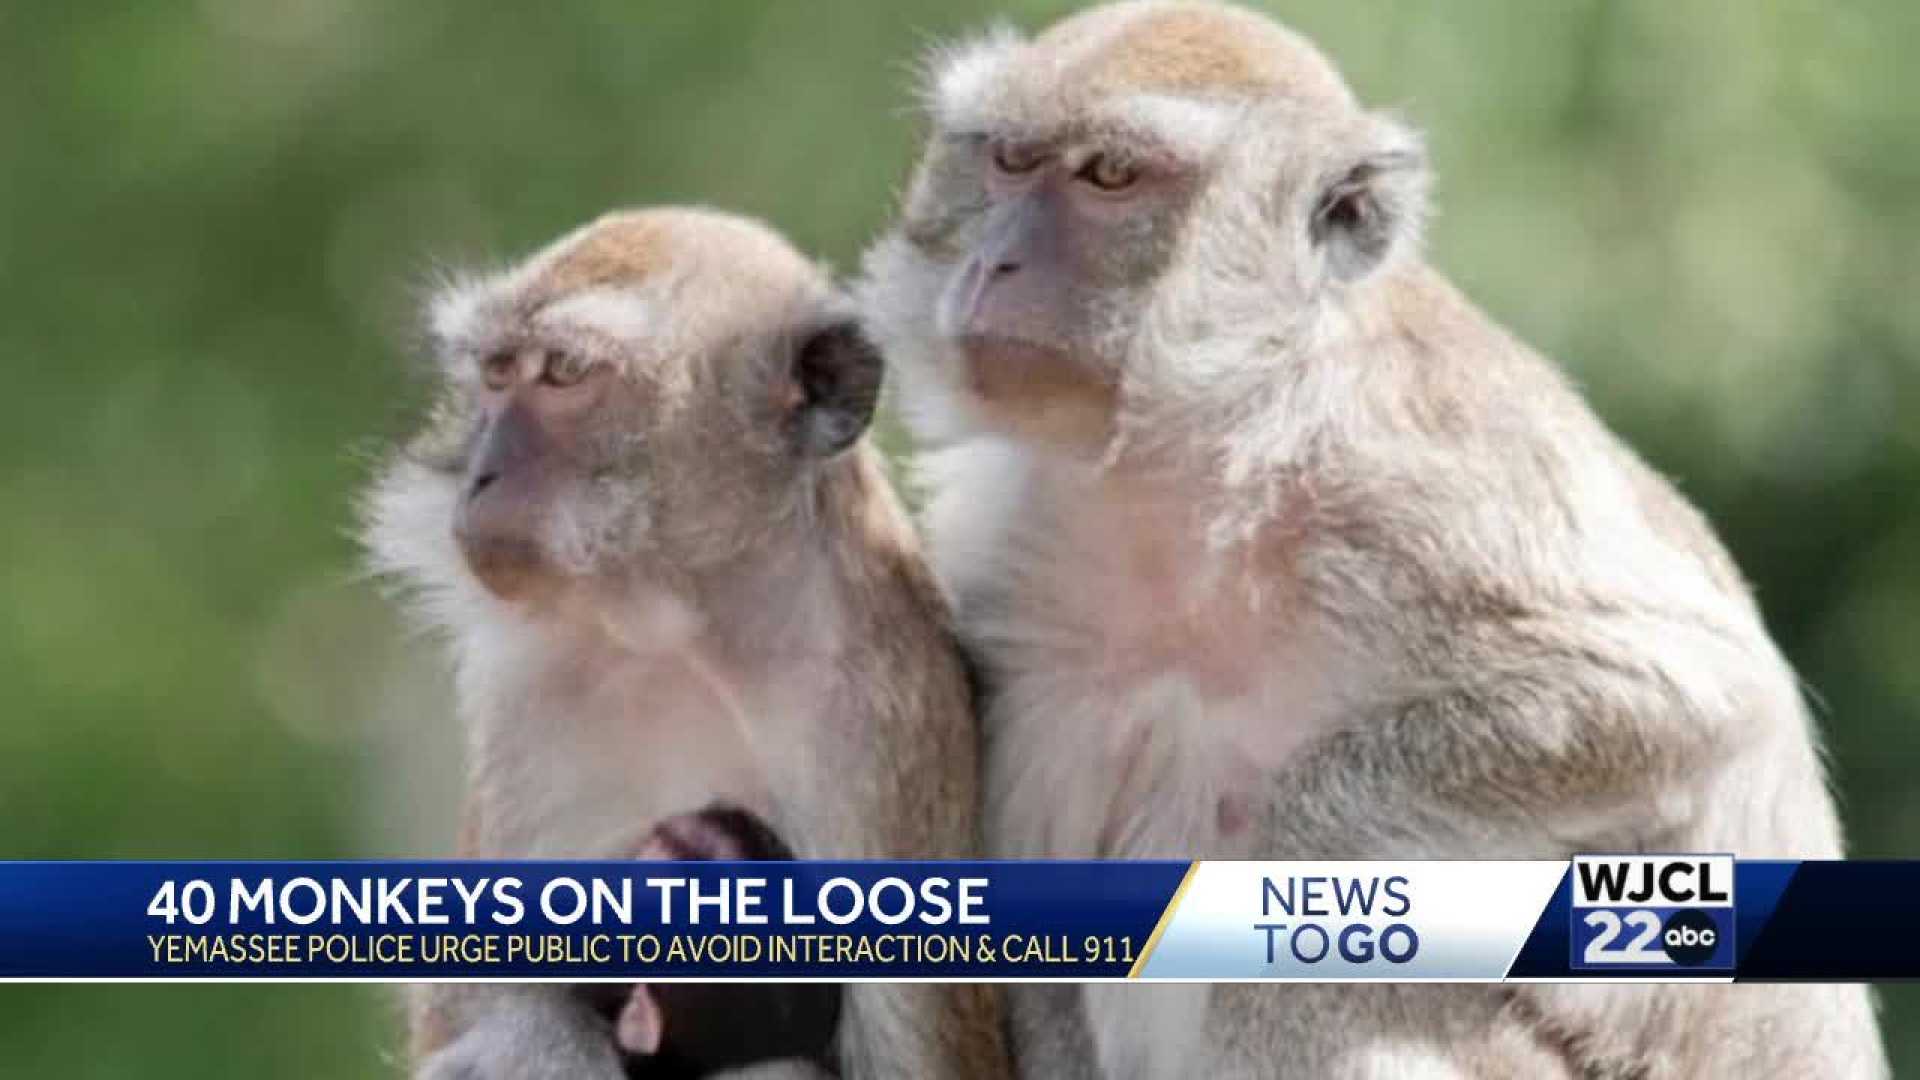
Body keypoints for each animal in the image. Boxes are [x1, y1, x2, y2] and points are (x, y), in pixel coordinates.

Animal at [364, 203, 1013, 1076]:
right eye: (497, 374)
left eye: (564, 371)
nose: (480, 474)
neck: (686, 631)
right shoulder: (525, 699)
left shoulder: (882, 724)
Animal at [864, 4, 1881, 1068]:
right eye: (1009, 161)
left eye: (1109, 175)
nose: (995, 263)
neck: (1201, 459)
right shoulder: (1010, 565)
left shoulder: (1424, 488)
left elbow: (1688, 693)